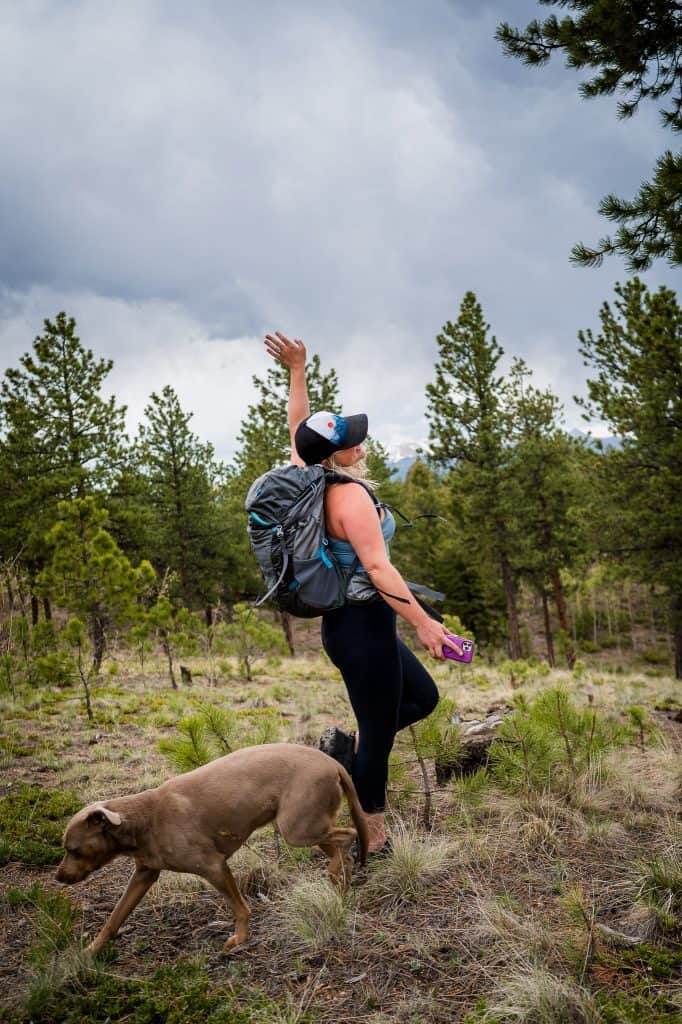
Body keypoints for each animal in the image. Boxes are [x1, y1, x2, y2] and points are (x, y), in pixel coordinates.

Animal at [55, 745, 366, 950]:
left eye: (74, 850)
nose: (58, 877)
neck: (144, 820)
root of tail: (332, 763)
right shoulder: (143, 875)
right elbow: (114, 918)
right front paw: (91, 952)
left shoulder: (214, 867)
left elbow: (239, 907)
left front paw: (240, 938)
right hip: (308, 827)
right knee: (341, 849)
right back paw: (340, 883)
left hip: (297, 829)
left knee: (348, 835)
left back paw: (338, 875)